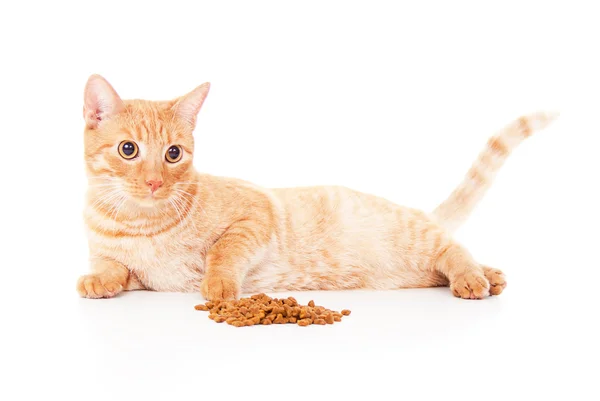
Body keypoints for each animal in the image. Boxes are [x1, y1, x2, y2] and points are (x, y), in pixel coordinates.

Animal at [76, 74, 556, 300]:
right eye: (128, 150)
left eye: (173, 154)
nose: (154, 181)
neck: (139, 223)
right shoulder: (136, 274)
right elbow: (116, 270)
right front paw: (97, 280)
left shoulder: (254, 215)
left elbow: (223, 252)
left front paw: (218, 284)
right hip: (415, 267)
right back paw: (491, 275)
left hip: (416, 238)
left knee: (452, 249)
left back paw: (475, 278)